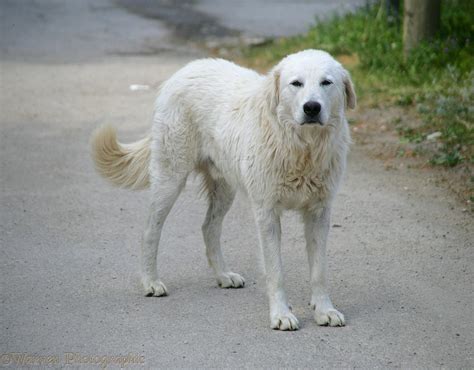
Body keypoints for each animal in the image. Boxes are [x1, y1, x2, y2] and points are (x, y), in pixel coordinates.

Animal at [90, 48, 356, 330]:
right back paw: (151, 282)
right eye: (296, 84)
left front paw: (325, 310)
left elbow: (319, 271)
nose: (312, 107)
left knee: (209, 227)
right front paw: (281, 315)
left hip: (224, 189)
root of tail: (185, 70)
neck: (303, 148)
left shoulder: (319, 213)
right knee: (150, 231)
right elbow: (276, 272)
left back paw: (223, 275)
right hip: (170, 180)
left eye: (326, 83)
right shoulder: (267, 214)